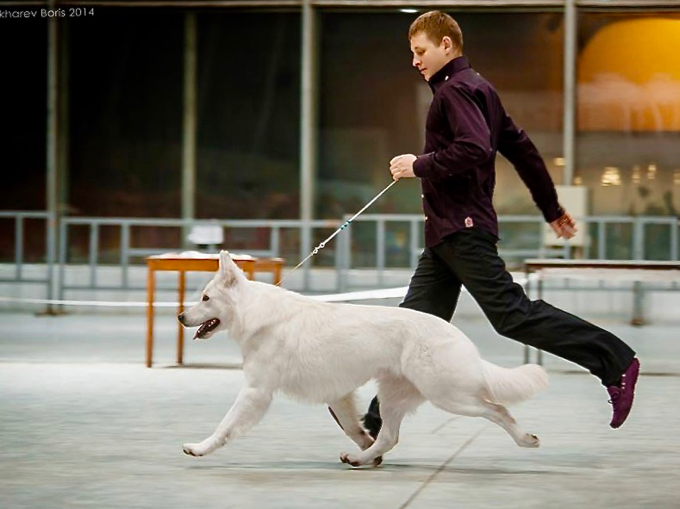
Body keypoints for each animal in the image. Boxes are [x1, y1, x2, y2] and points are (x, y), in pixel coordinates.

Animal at [177, 249, 548, 464]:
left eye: (206, 298)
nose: (180, 316)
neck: (255, 312)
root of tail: (457, 336)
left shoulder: (256, 391)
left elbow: (225, 425)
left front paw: (200, 447)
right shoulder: (337, 393)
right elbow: (352, 426)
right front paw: (361, 442)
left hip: (448, 395)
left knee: (497, 409)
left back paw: (525, 439)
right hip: (394, 396)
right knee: (389, 437)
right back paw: (361, 458)